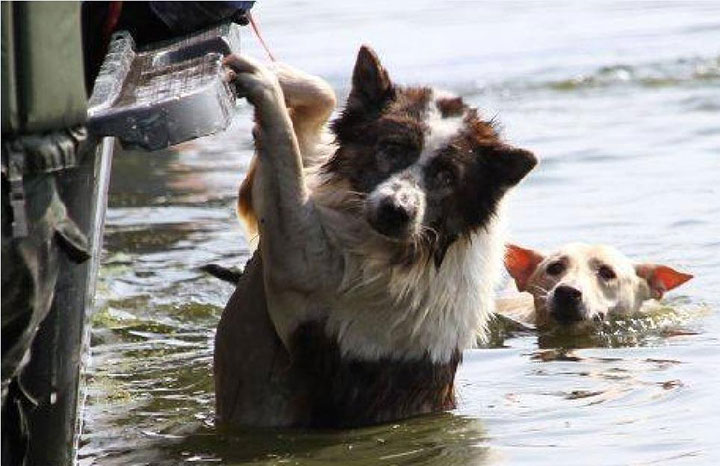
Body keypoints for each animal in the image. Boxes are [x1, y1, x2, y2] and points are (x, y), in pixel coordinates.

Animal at [214, 45, 536, 428]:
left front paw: (266, 86)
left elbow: (286, 155)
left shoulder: (297, 267)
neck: (424, 248)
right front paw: (281, 75)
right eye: (392, 148)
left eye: (447, 176)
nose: (397, 210)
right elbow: (322, 100)